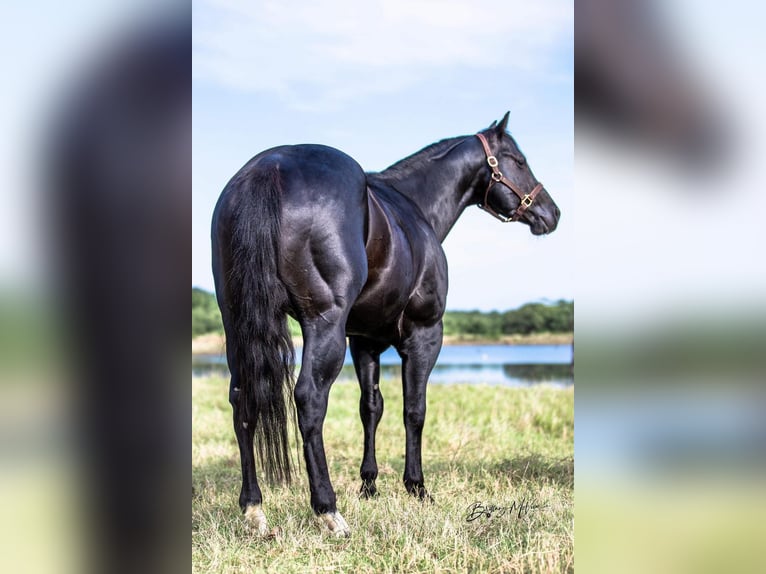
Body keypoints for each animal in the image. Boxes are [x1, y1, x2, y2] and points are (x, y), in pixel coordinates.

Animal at [213, 113, 560, 540]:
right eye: (519, 161)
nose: (551, 213)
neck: (415, 210)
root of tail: (269, 168)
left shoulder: (365, 342)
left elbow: (371, 408)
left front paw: (369, 484)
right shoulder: (424, 335)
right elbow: (415, 410)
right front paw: (417, 487)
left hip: (239, 325)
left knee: (242, 400)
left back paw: (254, 509)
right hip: (323, 325)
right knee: (310, 399)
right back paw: (328, 510)